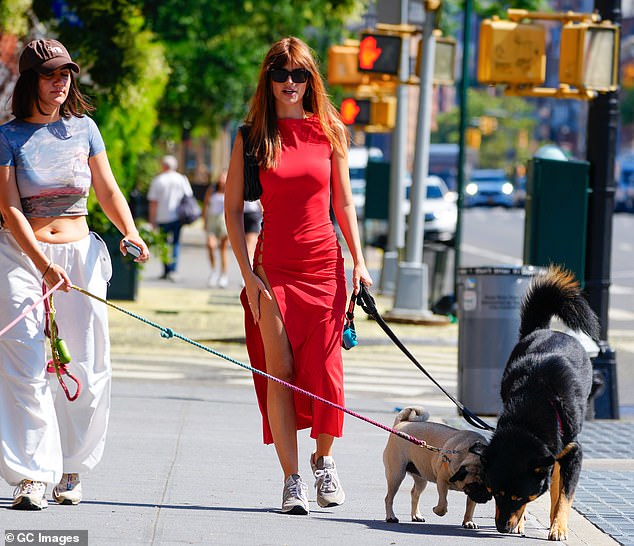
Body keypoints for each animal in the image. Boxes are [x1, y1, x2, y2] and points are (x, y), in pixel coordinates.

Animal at [478, 264, 596, 540]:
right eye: (495, 493)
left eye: (518, 497)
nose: (503, 528)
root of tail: (546, 330)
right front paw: (522, 523)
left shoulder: (574, 453)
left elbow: (564, 496)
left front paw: (559, 527)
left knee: (557, 485)